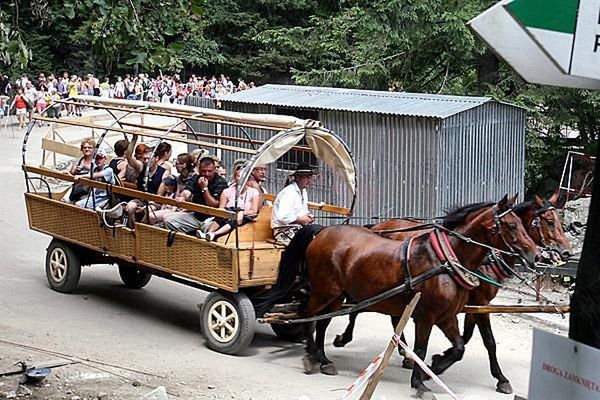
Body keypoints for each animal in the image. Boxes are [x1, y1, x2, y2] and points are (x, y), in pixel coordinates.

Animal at [284, 195, 540, 392]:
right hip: (324, 291)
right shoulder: (426, 316)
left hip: (337, 295)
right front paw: (420, 382)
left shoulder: (448, 316)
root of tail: (323, 231)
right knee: (306, 314)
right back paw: (311, 355)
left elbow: (460, 347)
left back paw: (323, 358)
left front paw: (433, 368)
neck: (446, 260)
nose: (535, 255)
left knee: (323, 322)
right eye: (510, 226)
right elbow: (421, 349)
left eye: (521, 223)